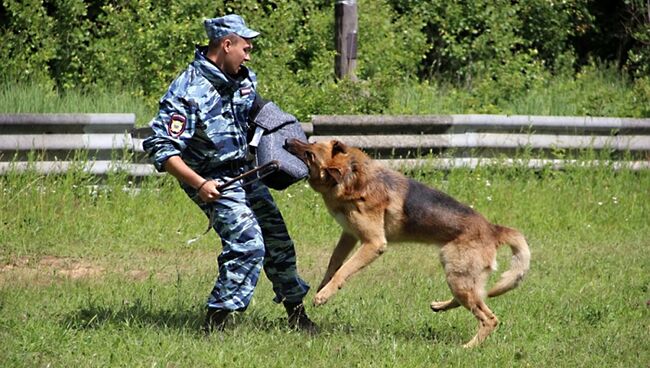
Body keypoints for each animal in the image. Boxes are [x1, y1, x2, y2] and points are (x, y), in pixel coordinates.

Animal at [284, 139, 528, 348]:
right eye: (312, 143)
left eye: (310, 154)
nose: (286, 141)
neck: (353, 176)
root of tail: (493, 229)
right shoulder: (349, 235)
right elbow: (334, 263)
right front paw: (323, 285)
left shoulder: (373, 243)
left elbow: (344, 270)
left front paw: (324, 295)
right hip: (459, 276)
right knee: (475, 298)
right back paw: (440, 306)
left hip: (457, 274)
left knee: (489, 318)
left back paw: (468, 347)